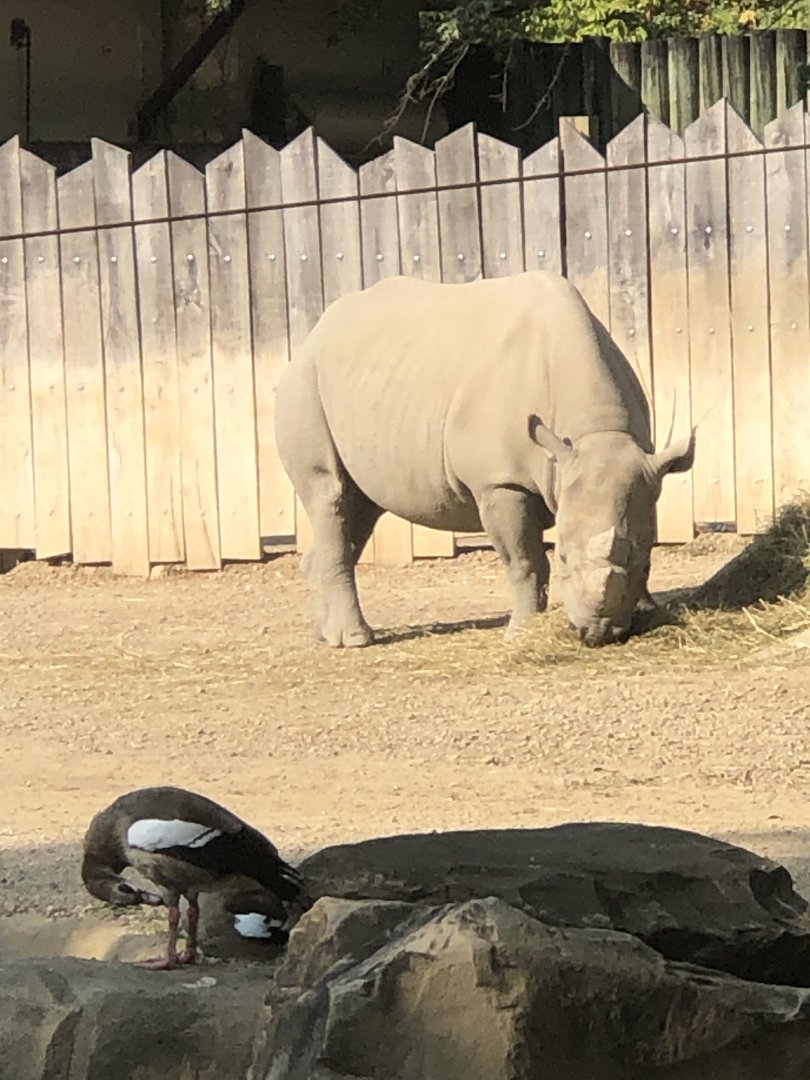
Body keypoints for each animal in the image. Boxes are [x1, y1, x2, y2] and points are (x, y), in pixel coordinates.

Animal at [274, 271, 695, 648]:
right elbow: (524, 561)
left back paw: (325, 634)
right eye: (561, 557)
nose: (597, 633)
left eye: (645, 561)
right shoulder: (500, 481)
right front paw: (522, 635)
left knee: (360, 507)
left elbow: (640, 529)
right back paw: (354, 640)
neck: (597, 433)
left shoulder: (645, 471)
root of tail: (314, 334)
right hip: (304, 384)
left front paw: (649, 611)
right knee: (330, 493)